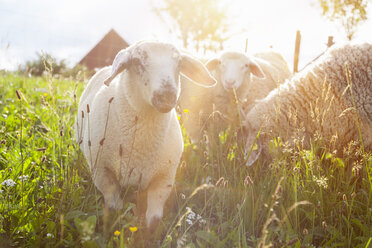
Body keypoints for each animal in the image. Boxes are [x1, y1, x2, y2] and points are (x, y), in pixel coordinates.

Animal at [75, 40, 215, 229]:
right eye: (137, 61)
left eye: (179, 64)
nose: (166, 95)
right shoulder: (102, 172)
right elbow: (114, 208)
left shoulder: (165, 177)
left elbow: (154, 218)